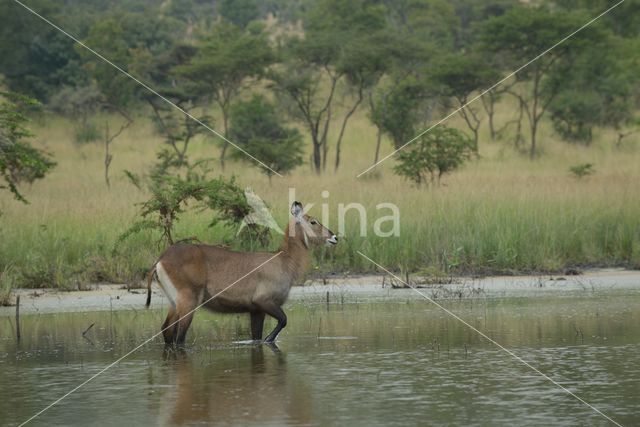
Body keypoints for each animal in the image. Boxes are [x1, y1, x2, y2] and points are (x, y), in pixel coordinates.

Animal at [144, 202, 336, 346]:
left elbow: (256, 337)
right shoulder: (264, 301)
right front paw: (269, 340)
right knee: (179, 338)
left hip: (173, 302)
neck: (284, 259)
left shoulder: (256, 310)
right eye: (313, 222)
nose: (334, 237)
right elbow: (283, 321)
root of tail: (161, 259)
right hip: (188, 303)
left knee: (167, 331)